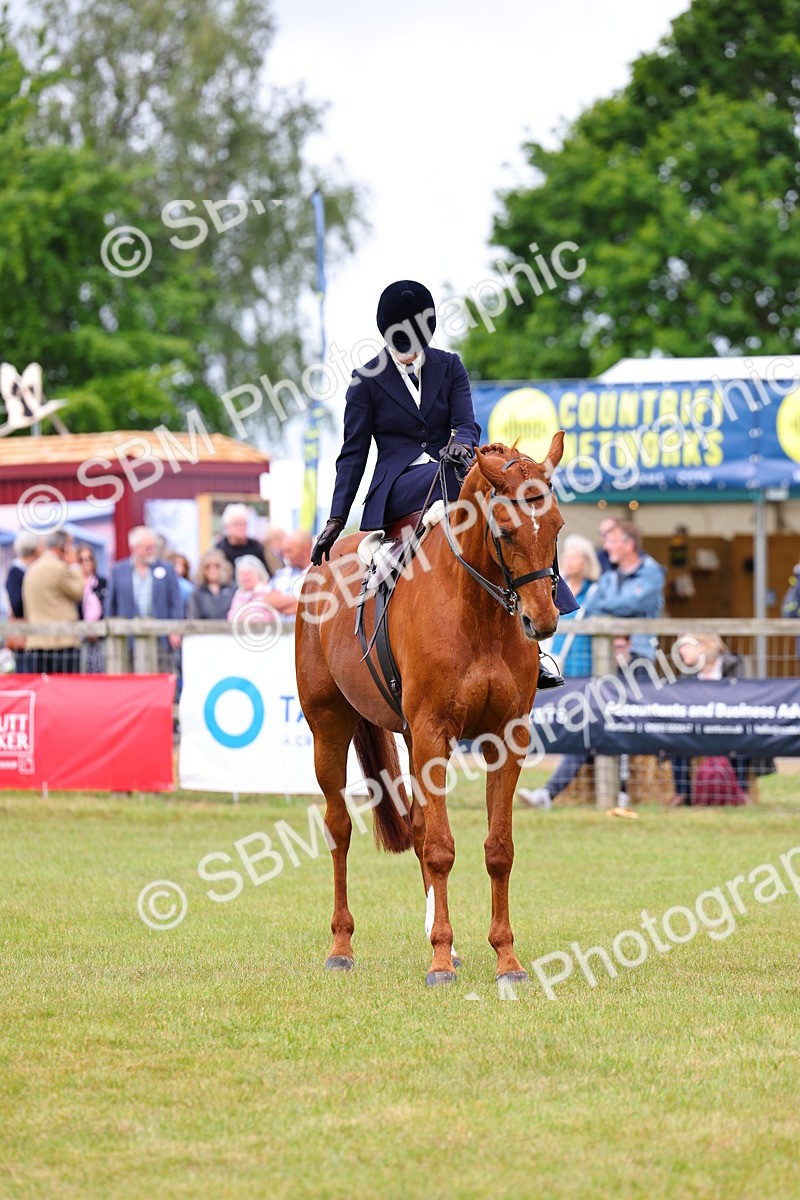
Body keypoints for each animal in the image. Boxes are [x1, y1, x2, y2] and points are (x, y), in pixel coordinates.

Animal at [295, 433, 566, 987]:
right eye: (505, 530)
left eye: (557, 526)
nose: (543, 621)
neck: (477, 610)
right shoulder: (434, 734)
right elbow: (441, 848)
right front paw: (440, 962)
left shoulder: (505, 738)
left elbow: (498, 849)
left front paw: (505, 959)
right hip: (329, 729)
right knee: (339, 829)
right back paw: (341, 946)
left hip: (407, 737)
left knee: (418, 828)